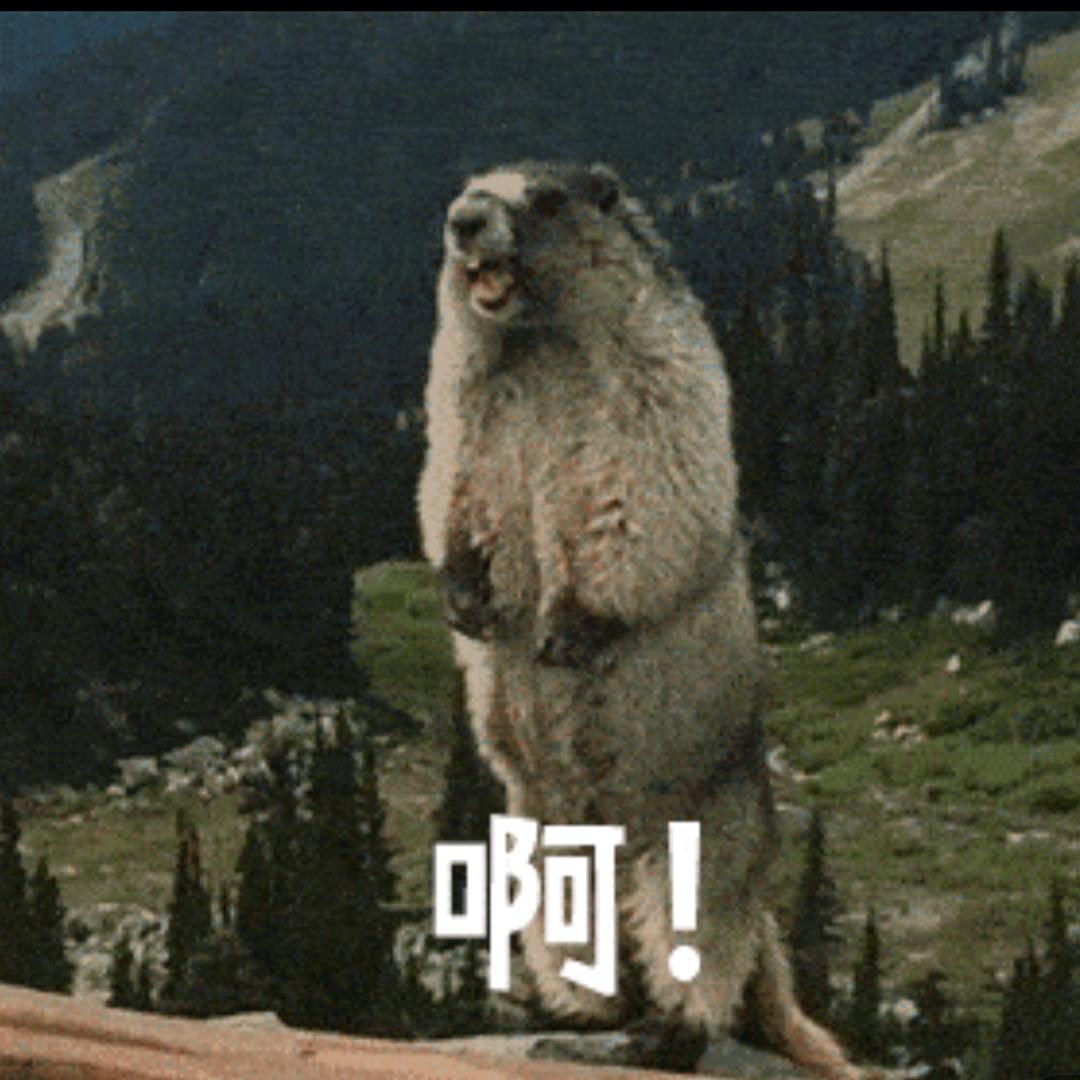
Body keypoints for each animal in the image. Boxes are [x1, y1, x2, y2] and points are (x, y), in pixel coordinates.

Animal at [418, 160, 859, 1079]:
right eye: (469, 185)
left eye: (545, 198)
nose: (462, 219)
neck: (538, 339)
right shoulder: (457, 386)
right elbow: (451, 480)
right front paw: (463, 592)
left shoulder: (659, 363)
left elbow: (645, 482)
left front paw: (570, 624)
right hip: (539, 845)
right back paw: (579, 1009)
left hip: (710, 833)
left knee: (700, 944)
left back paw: (673, 1030)